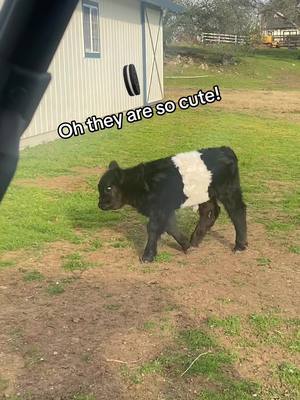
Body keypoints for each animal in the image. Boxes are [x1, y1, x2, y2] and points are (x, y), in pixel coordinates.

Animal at [97, 147, 247, 262]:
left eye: (108, 188)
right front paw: (186, 245)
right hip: (205, 194)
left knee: (237, 211)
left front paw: (147, 256)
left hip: (229, 190)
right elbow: (171, 227)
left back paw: (240, 246)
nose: (100, 205)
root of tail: (224, 149)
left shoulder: (159, 209)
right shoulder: (163, 210)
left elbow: (153, 229)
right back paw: (195, 240)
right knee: (210, 211)